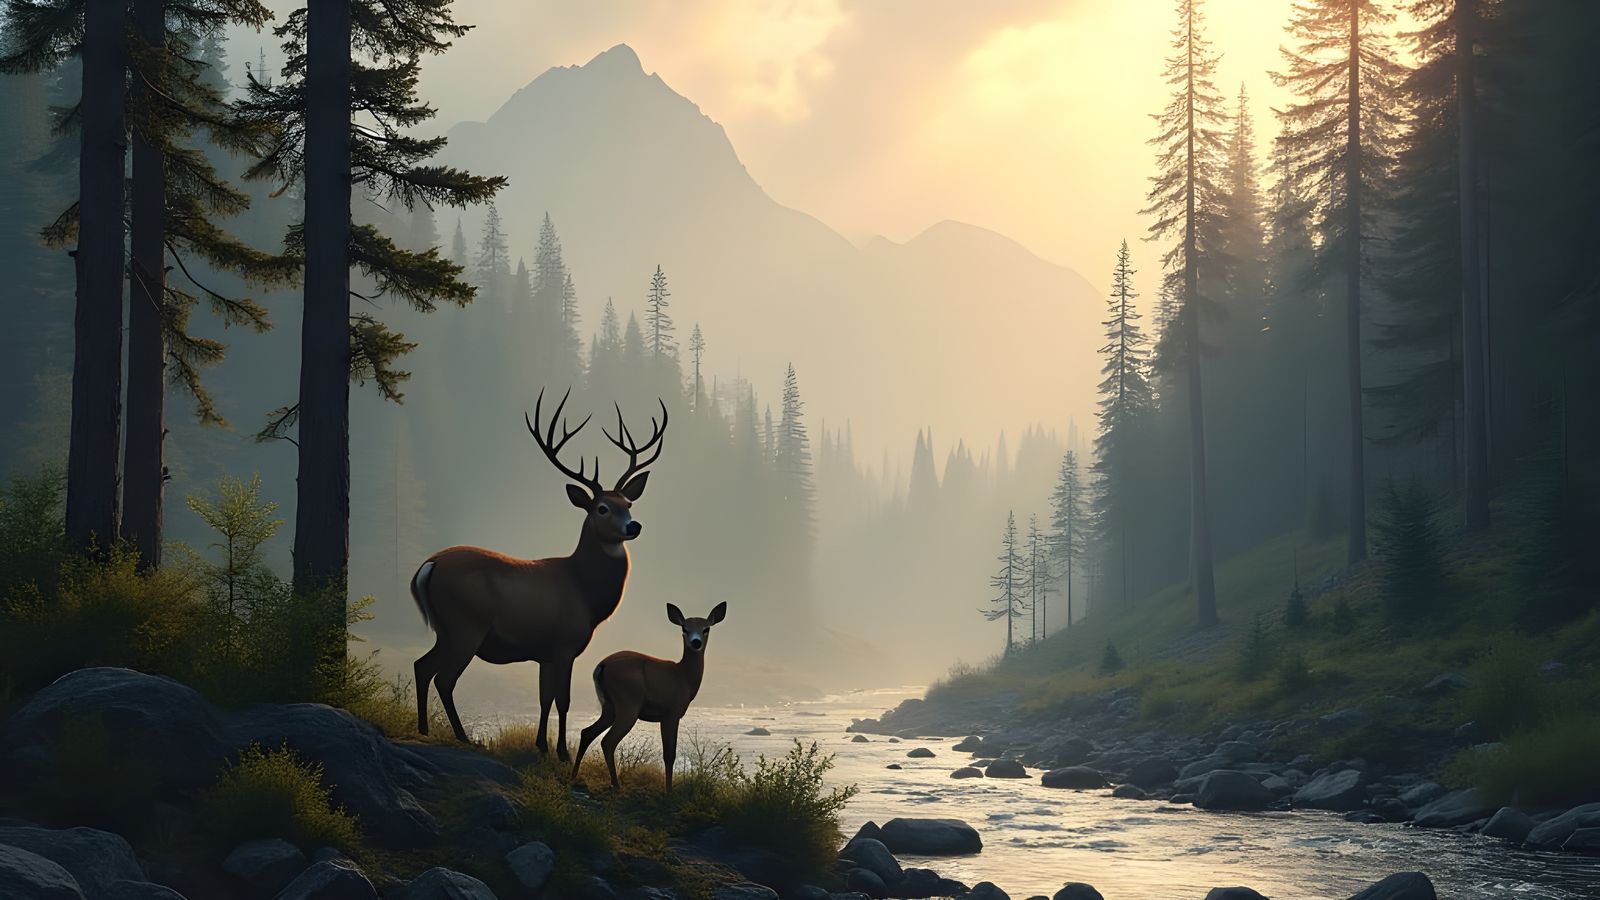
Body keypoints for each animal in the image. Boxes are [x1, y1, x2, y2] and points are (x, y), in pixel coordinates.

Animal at [410, 388, 668, 753]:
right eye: (602, 508)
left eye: (628, 504)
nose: (634, 526)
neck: (586, 592)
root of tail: (428, 566)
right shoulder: (565, 643)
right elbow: (563, 700)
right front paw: (560, 751)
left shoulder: (544, 651)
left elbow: (545, 698)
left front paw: (542, 746)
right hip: (466, 624)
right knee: (444, 678)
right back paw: (462, 736)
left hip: (446, 628)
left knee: (422, 666)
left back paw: (424, 729)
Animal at [572, 602, 728, 790]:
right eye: (685, 627)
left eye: (706, 628)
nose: (696, 642)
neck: (684, 678)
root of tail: (601, 666)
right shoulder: (671, 713)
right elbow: (669, 754)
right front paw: (669, 791)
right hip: (628, 703)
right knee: (608, 741)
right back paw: (616, 785)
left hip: (608, 706)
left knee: (587, 732)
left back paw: (573, 776)